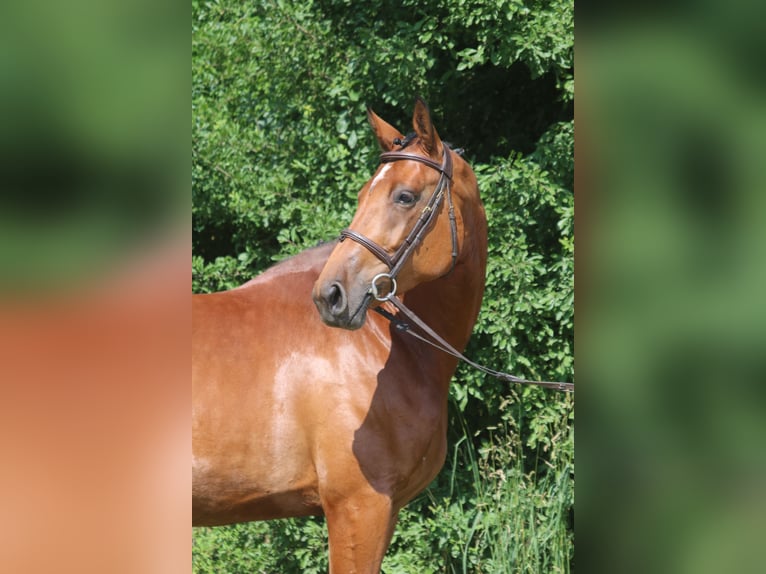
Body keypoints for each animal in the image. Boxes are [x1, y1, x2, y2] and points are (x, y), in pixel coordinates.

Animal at [192, 98, 488, 573]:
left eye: (404, 196)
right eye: (363, 194)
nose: (330, 296)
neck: (385, 346)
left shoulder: (382, 510)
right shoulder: (358, 506)